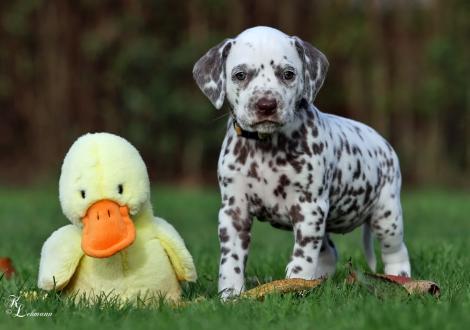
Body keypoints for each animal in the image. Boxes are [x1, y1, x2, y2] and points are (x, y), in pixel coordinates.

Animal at [193, 26, 410, 300]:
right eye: (240, 75)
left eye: (288, 74)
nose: (266, 105)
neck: (267, 147)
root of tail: (383, 142)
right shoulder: (234, 210)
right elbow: (231, 258)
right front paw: (230, 294)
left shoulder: (309, 208)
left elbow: (302, 256)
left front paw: (294, 284)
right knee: (329, 253)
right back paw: (318, 281)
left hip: (387, 215)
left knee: (396, 251)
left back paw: (401, 279)